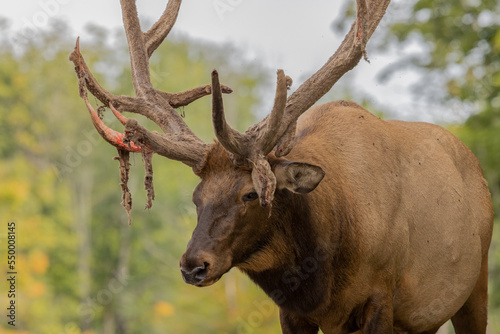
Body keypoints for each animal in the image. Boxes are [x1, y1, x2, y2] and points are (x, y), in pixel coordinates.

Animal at [69, 0, 492, 334]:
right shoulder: (292, 314)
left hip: (475, 283)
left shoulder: (381, 298)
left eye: (251, 194)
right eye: (196, 197)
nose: (193, 266)